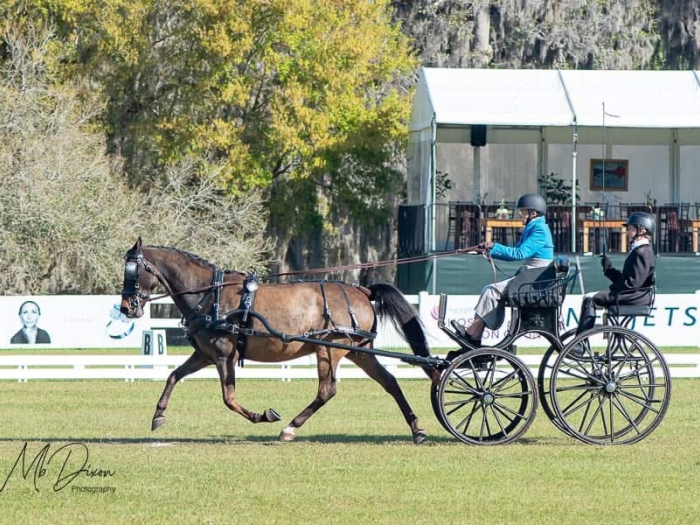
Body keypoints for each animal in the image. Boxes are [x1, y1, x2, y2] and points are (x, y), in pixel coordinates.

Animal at [120, 237, 436, 444]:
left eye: (132, 273)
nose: (125, 308)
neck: (210, 295)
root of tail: (361, 291)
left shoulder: (224, 355)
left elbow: (228, 398)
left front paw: (264, 415)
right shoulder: (205, 354)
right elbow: (173, 375)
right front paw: (158, 416)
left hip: (330, 350)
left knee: (327, 391)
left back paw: (289, 428)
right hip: (359, 351)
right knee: (390, 382)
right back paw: (417, 429)